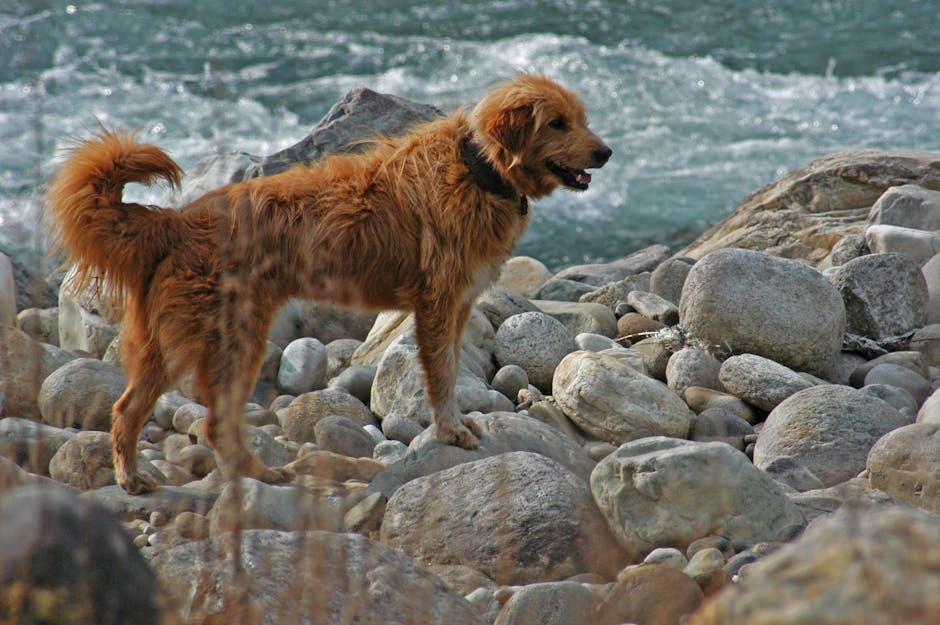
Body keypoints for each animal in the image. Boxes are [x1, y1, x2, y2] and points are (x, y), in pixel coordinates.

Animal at [49, 73, 608, 492]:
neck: (478, 169)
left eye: (582, 118)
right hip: (223, 339)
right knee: (194, 418)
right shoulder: (438, 304)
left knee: (139, 410)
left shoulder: (461, 305)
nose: (605, 152)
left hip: (174, 342)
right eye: (557, 123)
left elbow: (450, 368)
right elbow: (443, 376)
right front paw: (450, 432)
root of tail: (177, 221)